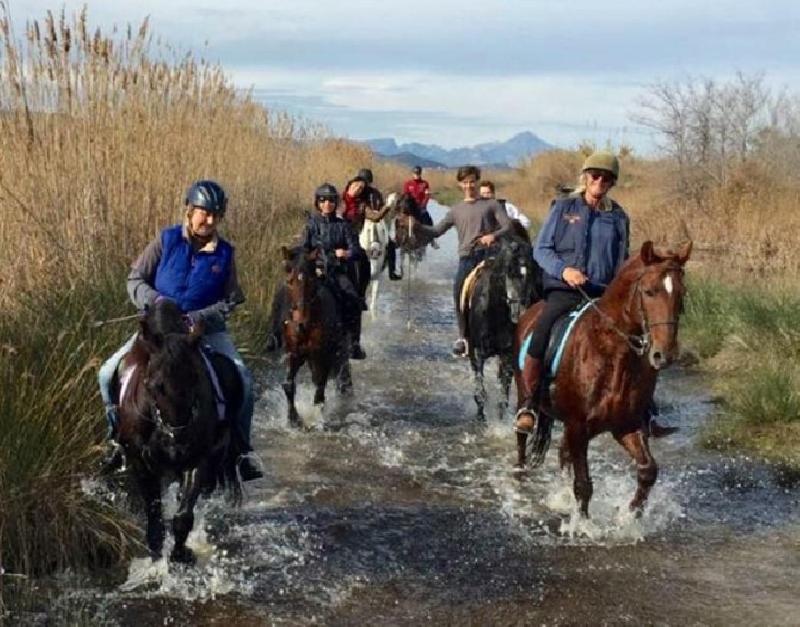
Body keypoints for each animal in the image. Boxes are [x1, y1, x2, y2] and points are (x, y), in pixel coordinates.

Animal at [115, 300, 241, 564]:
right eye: (153, 385)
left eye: (196, 378)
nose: (180, 444)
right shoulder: (140, 462)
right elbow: (154, 519)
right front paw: (157, 557)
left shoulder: (198, 459)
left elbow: (183, 516)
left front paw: (181, 554)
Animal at [280, 245, 348, 426]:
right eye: (289, 282)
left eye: (311, 281)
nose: (300, 324)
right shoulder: (294, 353)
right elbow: (288, 384)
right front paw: (293, 418)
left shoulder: (322, 355)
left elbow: (320, 386)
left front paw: (317, 417)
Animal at [462, 236, 536, 422]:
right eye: (509, 273)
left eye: (530, 274)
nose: (521, 312)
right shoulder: (477, 352)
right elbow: (480, 389)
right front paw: (481, 416)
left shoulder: (507, 354)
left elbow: (504, 393)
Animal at [512, 240, 692, 516]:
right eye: (649, 291)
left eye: (681, 295)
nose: (665, 355)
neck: (612, 354)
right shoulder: (578, 427)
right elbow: (583, 486)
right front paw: (583, 523)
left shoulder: (626, 425)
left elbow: (648, 471)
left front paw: (631, 515)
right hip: (525, 394)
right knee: (523, 438)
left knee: (563, 454)